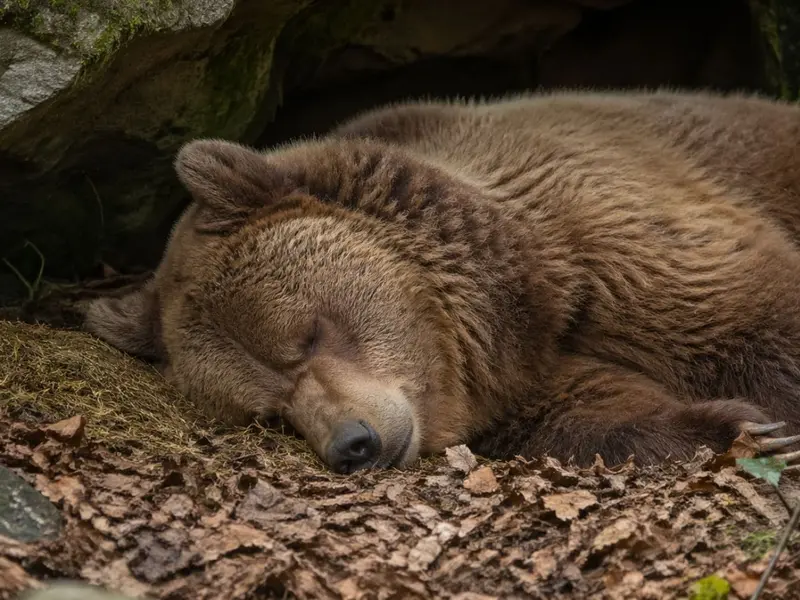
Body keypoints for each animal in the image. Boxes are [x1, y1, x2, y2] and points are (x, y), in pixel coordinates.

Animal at [85, 88, 800, 474]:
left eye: (307, 333)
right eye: (270, 413)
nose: (353, 443)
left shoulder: (608, 229)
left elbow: (749, 320)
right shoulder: (524, 383)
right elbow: (597, 414)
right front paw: (737, 428)